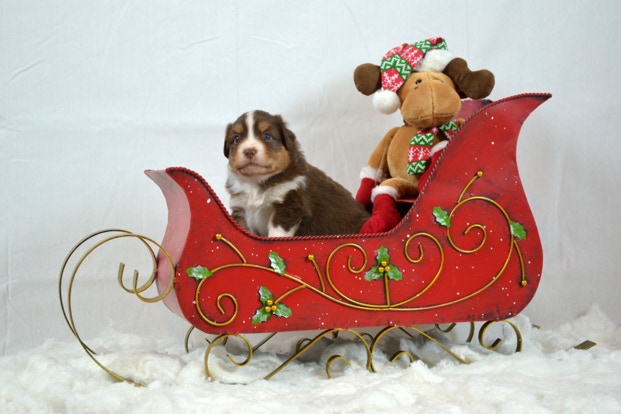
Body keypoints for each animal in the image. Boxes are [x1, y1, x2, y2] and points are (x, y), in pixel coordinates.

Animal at [224, 110, 370, 237]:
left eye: (267, 136)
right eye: (236, 139)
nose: (249, 151)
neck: (256, 182)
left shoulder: (289, 205)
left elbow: (277, 234)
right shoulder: (241, 209)